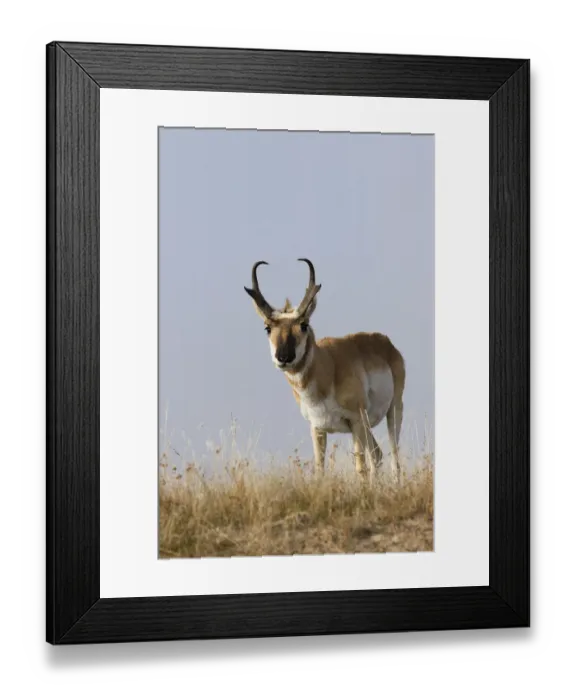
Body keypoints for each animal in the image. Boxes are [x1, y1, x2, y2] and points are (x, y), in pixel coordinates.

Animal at [244, 258, 406, 481]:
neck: (328, 369)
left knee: (393, 459)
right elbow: (320, 469)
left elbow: (360, 468)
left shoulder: (356, 422)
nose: (283, 358)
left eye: (304, 324)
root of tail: (386, 343)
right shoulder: (317, 428)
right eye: (267, 327)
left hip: (393, 411)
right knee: (377, 455)